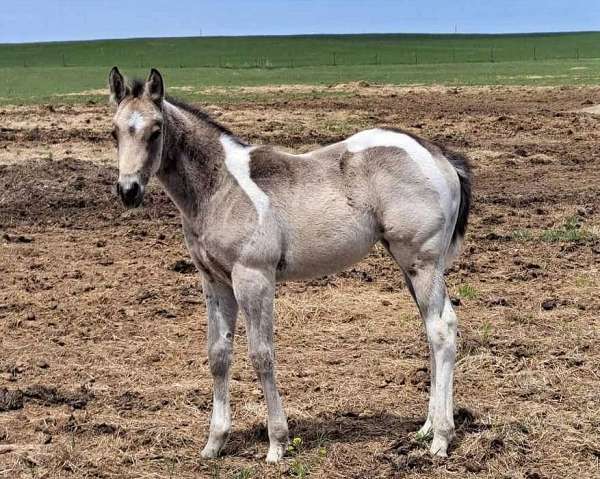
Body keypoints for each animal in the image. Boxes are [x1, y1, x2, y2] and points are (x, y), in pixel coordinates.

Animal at [108, 68, 474, 464]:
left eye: (156, 130)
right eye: (114, 131)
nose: (128, 191)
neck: (220, 187)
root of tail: (440, 157)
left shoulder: (253, 277)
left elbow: (261, 355)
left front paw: (277, 443)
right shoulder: (214, 281)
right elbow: (218, 355)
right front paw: (214, 442)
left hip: (423, 262)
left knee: (441, 331)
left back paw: (441, 438)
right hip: (410, 266)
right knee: (433, 328)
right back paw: (426, 428)